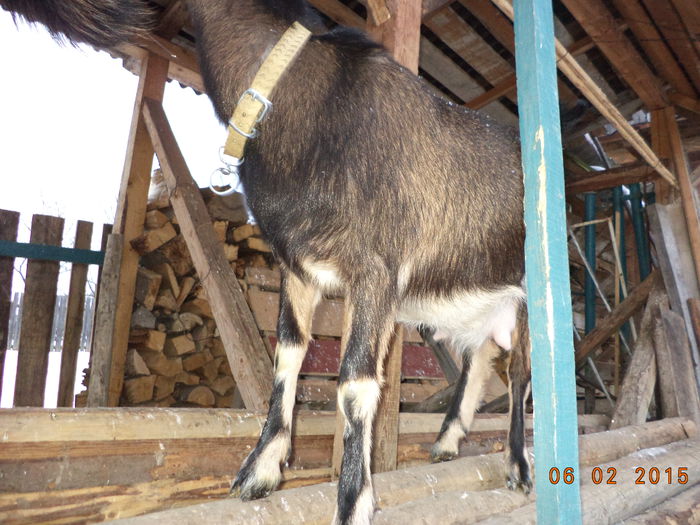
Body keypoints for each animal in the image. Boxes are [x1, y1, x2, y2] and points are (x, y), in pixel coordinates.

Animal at [0, 2, 532, 520]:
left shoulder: (375, 271)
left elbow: (355, 382)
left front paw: (352, 501)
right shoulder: (296, 267)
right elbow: (289, 352)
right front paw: (261, 468)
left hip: (527, 300)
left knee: (520, 375)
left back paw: (518, 466)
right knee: (480, 358)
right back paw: (447, 441)